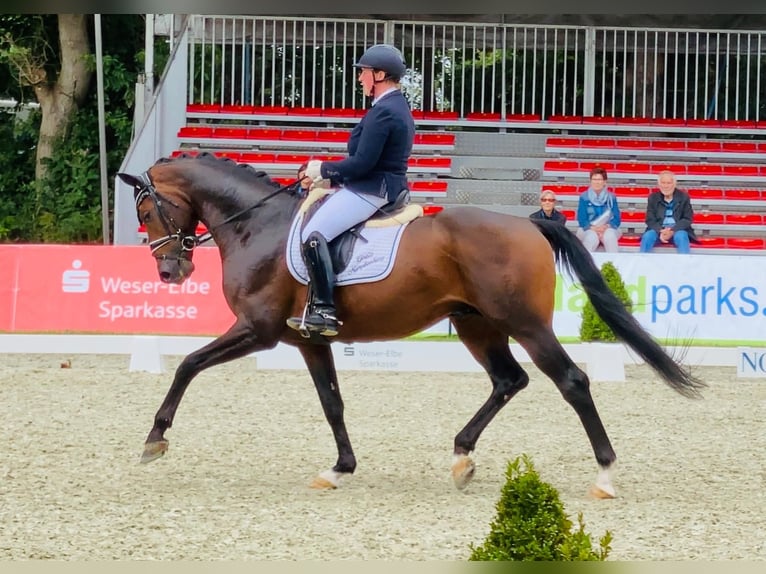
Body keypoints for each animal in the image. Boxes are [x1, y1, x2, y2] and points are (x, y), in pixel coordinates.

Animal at [117, 153, 705, 498]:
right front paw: (340, 468)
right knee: (509, 380)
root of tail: (530, 224)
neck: (258, 225)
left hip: (525, 324)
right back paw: (462, 457)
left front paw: (154, 439)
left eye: (146, 211)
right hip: (477, 326)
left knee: (572, 381)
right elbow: (332, 402)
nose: (170, 271)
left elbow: (188, 364)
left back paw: (604, 475)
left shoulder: (257, 330)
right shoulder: (306, 338)